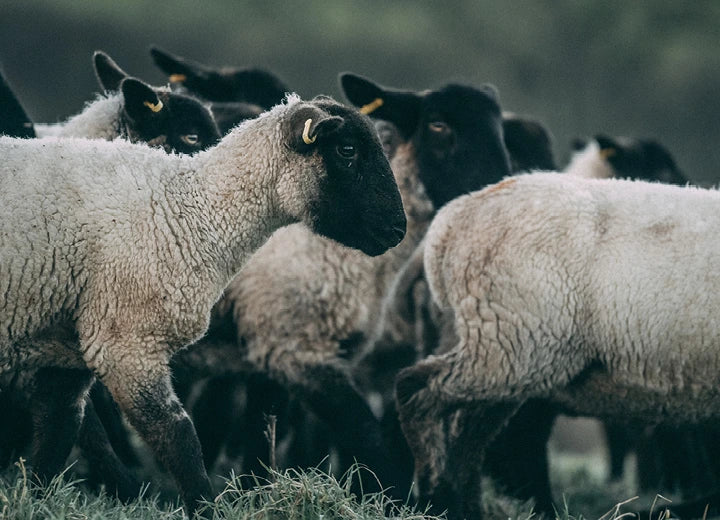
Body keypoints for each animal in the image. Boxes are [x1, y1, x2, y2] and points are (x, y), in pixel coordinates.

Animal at [0, 93, 406, 516]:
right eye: (347, 150)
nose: (398, 230)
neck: (192, 211)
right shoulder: (127, 341)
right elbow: (178, 437)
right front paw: (204, 508)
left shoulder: (69, 344)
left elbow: (57, 430)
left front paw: (35, 501)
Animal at [171, 71, 512, 495]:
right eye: (438, 124)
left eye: (499, 127)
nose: (501, 186)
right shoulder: (295, 347)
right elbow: (367, 437)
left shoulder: (271, 352)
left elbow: (264, 437)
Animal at [395, 172, 720, 520]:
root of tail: (450, 221)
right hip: (512, 336)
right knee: (415, 391)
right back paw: (433, 493)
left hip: (501, 346)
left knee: (467, 436)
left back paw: (462, 505)